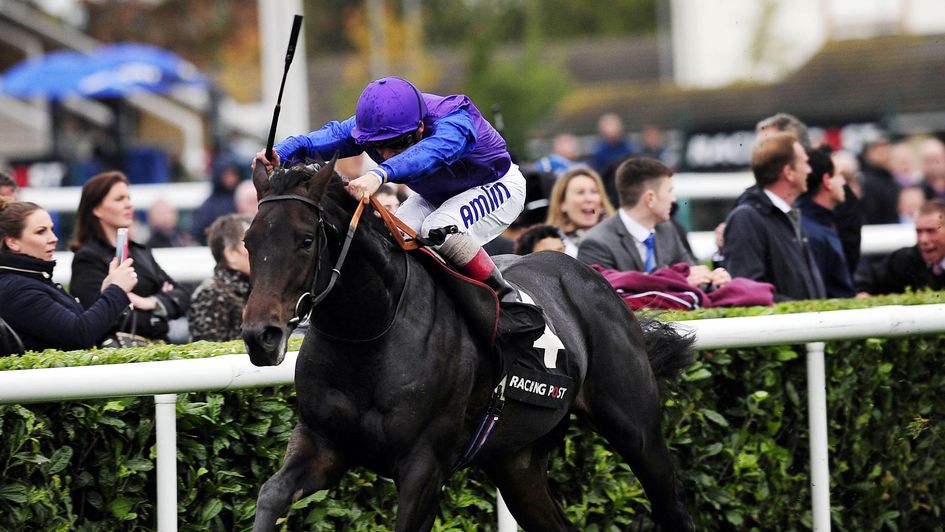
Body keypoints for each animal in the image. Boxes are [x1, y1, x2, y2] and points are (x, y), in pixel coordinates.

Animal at [238, 160, 692, 528]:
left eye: (305, 240)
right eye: (249, 242)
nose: (260, 336)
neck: (369, 334)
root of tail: (592, 275)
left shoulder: (424, 466)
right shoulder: (324, 445)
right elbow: (271, 495)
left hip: (636, 429)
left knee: (672, 507)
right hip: (517, 461)